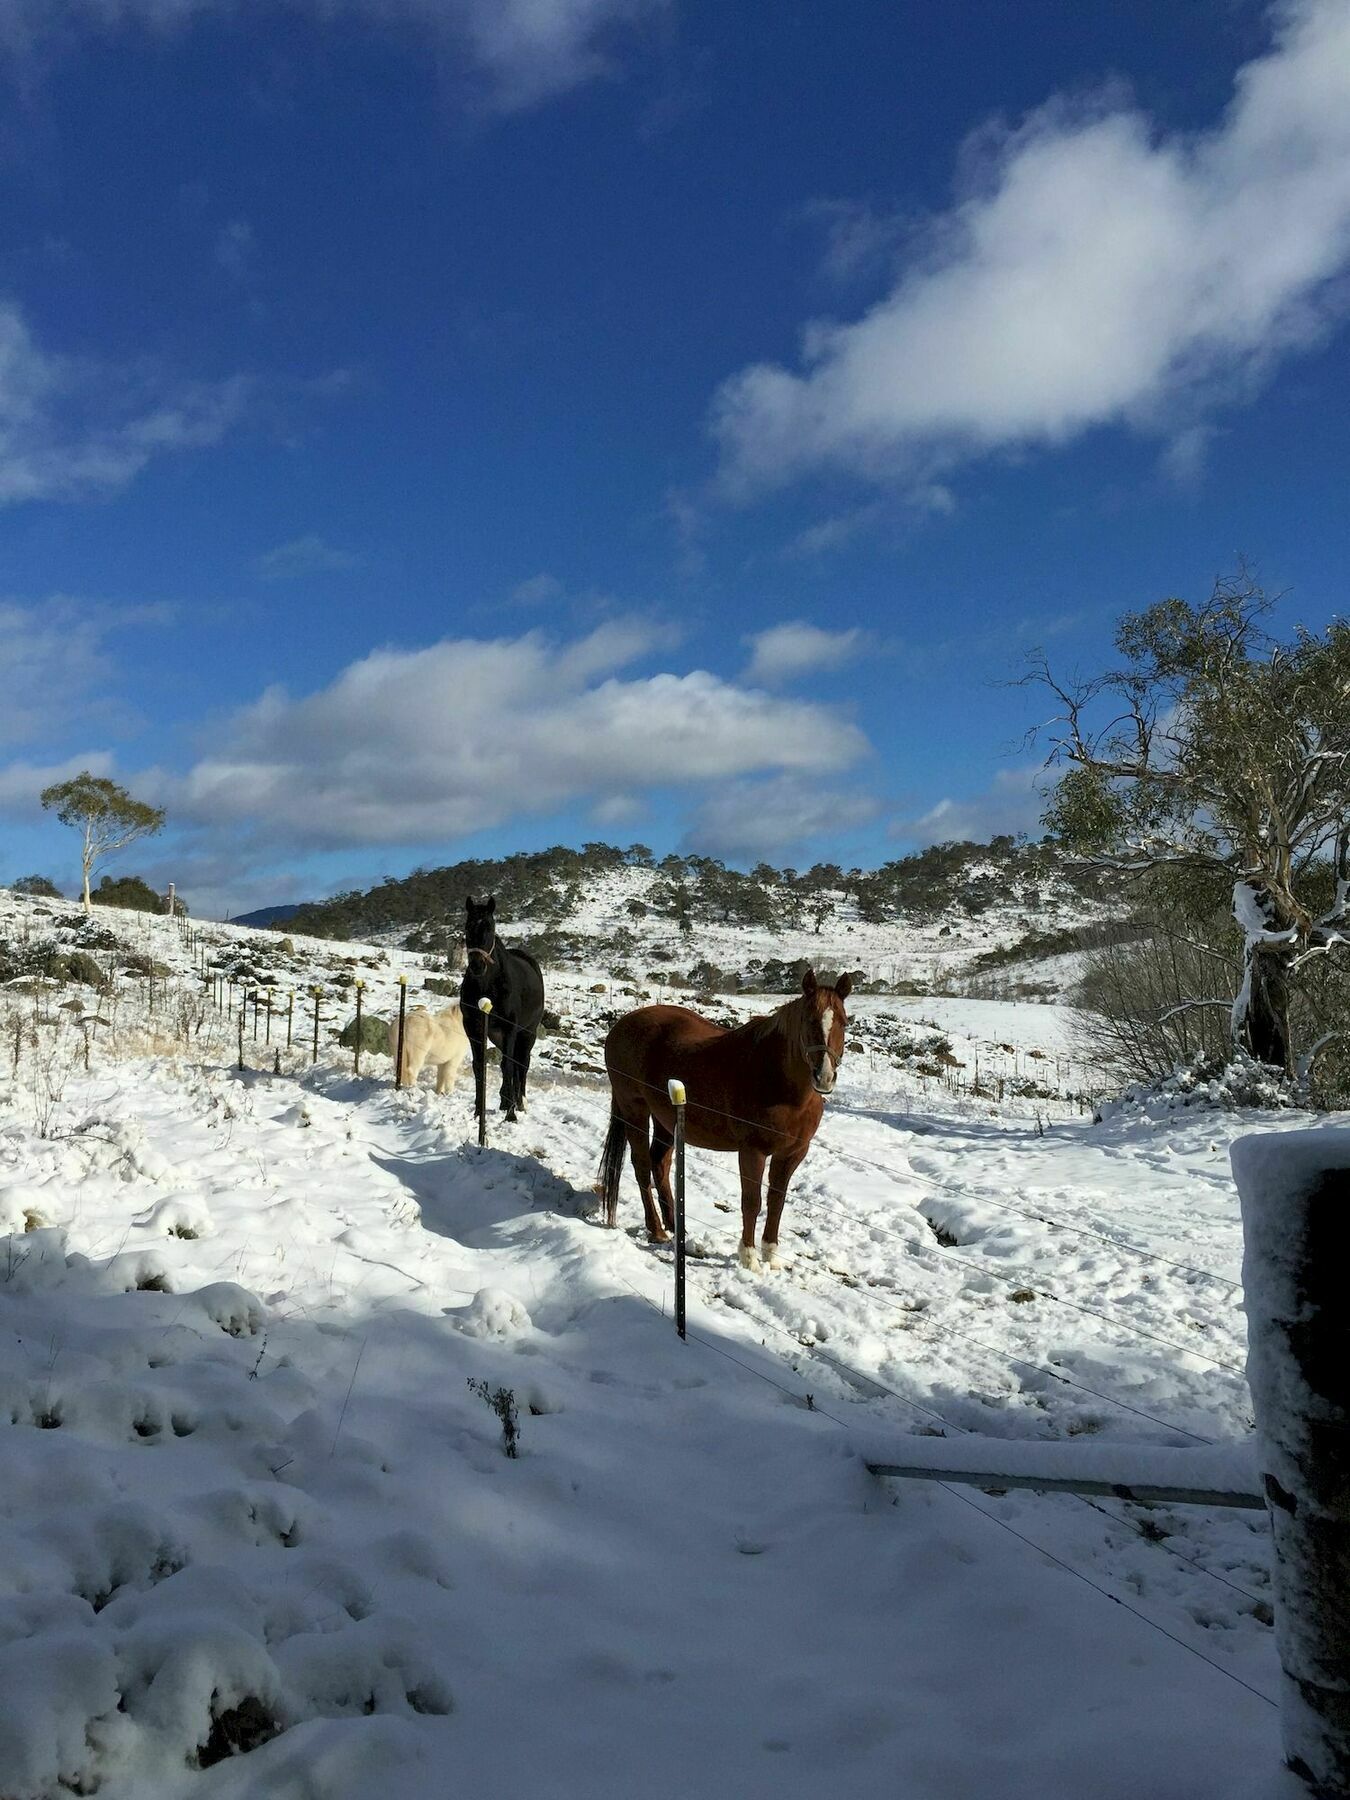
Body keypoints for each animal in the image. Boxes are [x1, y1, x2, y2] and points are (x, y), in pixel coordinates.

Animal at [460, 900, 543, 1123]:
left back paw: (518, 1103)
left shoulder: (510, 1029)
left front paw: (511, 1115)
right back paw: (506, 1100)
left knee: (521, 1065)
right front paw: (478, 1111)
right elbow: (479, 1066)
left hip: (527, 1034)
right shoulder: (473, 1028)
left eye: (490, 927)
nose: (477, 966)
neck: (488, 986)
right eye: (467, 927)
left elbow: (508, 1066)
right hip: (497, 1035)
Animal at [601, 964, 856, 1274]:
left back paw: (676, 1228)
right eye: (809, 1020)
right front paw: (749, 1258)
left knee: (659, 1164)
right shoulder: (752, 1151)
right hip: (634, 1109)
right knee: (640, 1166)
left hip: (666, 1120)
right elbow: (752, 1202)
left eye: (843, 1022)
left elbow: (777, 1201)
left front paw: (771, 1254)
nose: (825, 1076)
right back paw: (657, 1230)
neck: (777, 1081)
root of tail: (622, 1024)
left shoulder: (792, 1153)